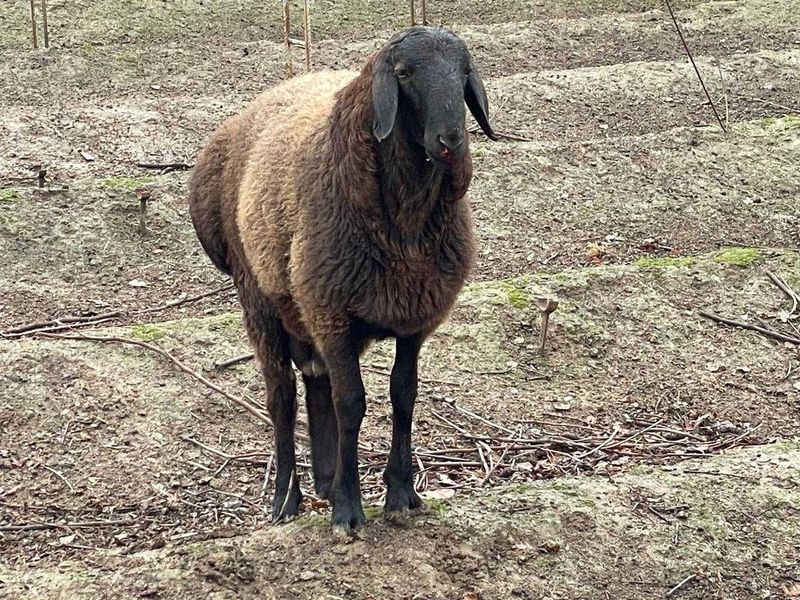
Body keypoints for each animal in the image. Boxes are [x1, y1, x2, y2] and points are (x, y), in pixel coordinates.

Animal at [188, 27, 496, 536]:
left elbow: (403, 396)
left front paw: (401, 495)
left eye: (464, 70)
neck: (405, 230)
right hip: (261, 298)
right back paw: (286, 499)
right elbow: (350, 403)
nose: (451, 141)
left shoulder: (413, 318)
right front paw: (349, 511)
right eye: (403, 73)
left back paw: (325, 481)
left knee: (316, 384)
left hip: (305, 313)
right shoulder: (333, 314)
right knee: (282, 398)